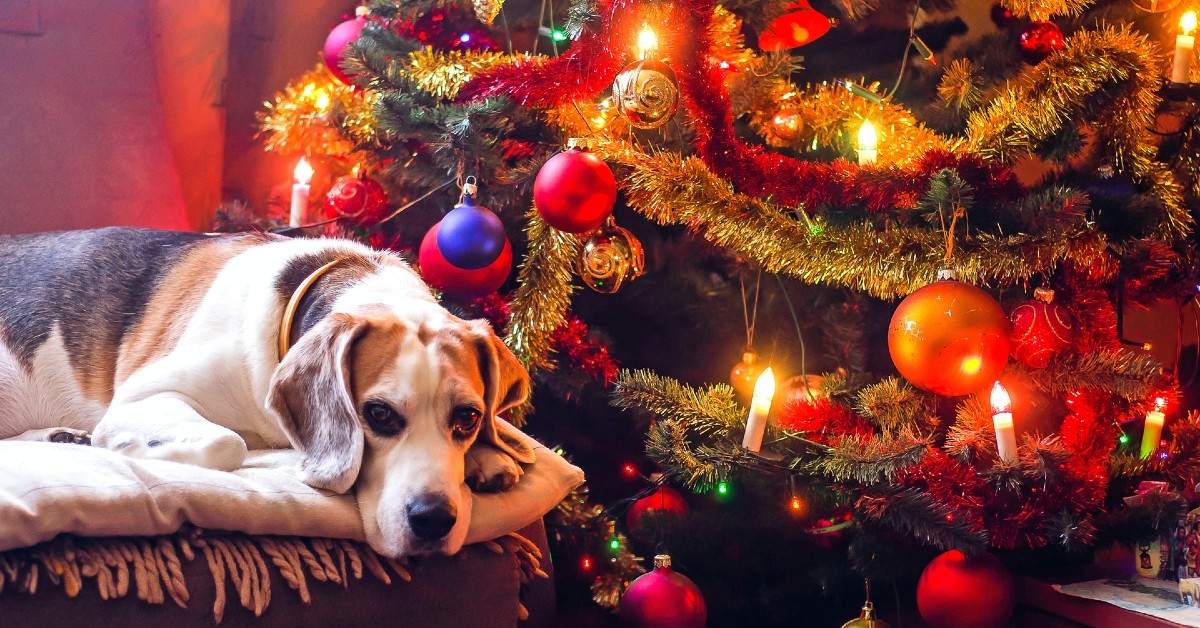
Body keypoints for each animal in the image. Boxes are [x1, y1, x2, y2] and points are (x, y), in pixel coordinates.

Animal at [0, 226, 535, 554]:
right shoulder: (144, 397)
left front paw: (488, 456)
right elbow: (226, 442)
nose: (434, 520)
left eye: (467, 417)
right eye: (379, 415)